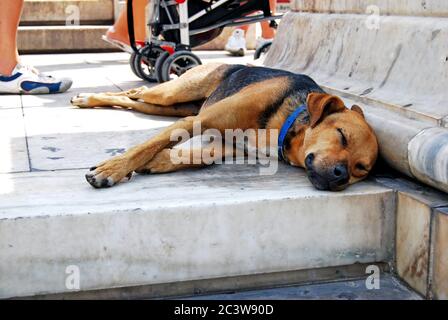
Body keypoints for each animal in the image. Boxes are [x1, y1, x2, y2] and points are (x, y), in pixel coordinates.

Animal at [70, 63, 378, 191]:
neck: (285, 128)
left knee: (133, 100)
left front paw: (156, 162)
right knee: (137, 93)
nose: (340, 176)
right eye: (341, 135)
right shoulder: (198, 121)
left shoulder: (229, 145)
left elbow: (199, 157)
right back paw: (85, 98)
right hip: (173, 94)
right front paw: (111, 170)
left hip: (173, 106)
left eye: (360, 169)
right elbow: (147, 145)